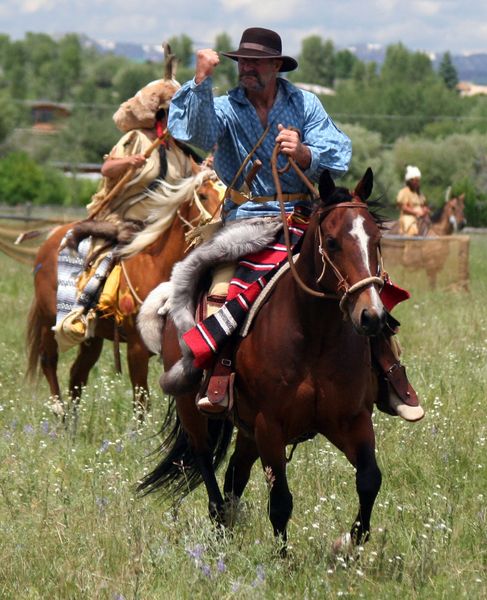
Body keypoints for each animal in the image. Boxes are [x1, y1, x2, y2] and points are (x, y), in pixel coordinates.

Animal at [27, 171, 222, 418]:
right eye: (204, 195)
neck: (155, 264)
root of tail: (51, 238)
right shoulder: (137, 348)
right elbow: (142, 403)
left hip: (93, 336)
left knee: (77, 375)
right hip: (48, 319)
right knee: (49, 361)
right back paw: (59, 412)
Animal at [139, 168, 390, 552]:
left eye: (376, 240)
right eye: (332, 242)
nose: (371, 316)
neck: (314, 337)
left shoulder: (350, 419)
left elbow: (369, 479)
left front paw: (348, 544)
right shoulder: (270, 426)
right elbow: (281, 502)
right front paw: (282, 559)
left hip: (247, 430)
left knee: (233, 476)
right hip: (193, 409)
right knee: (207, 467)